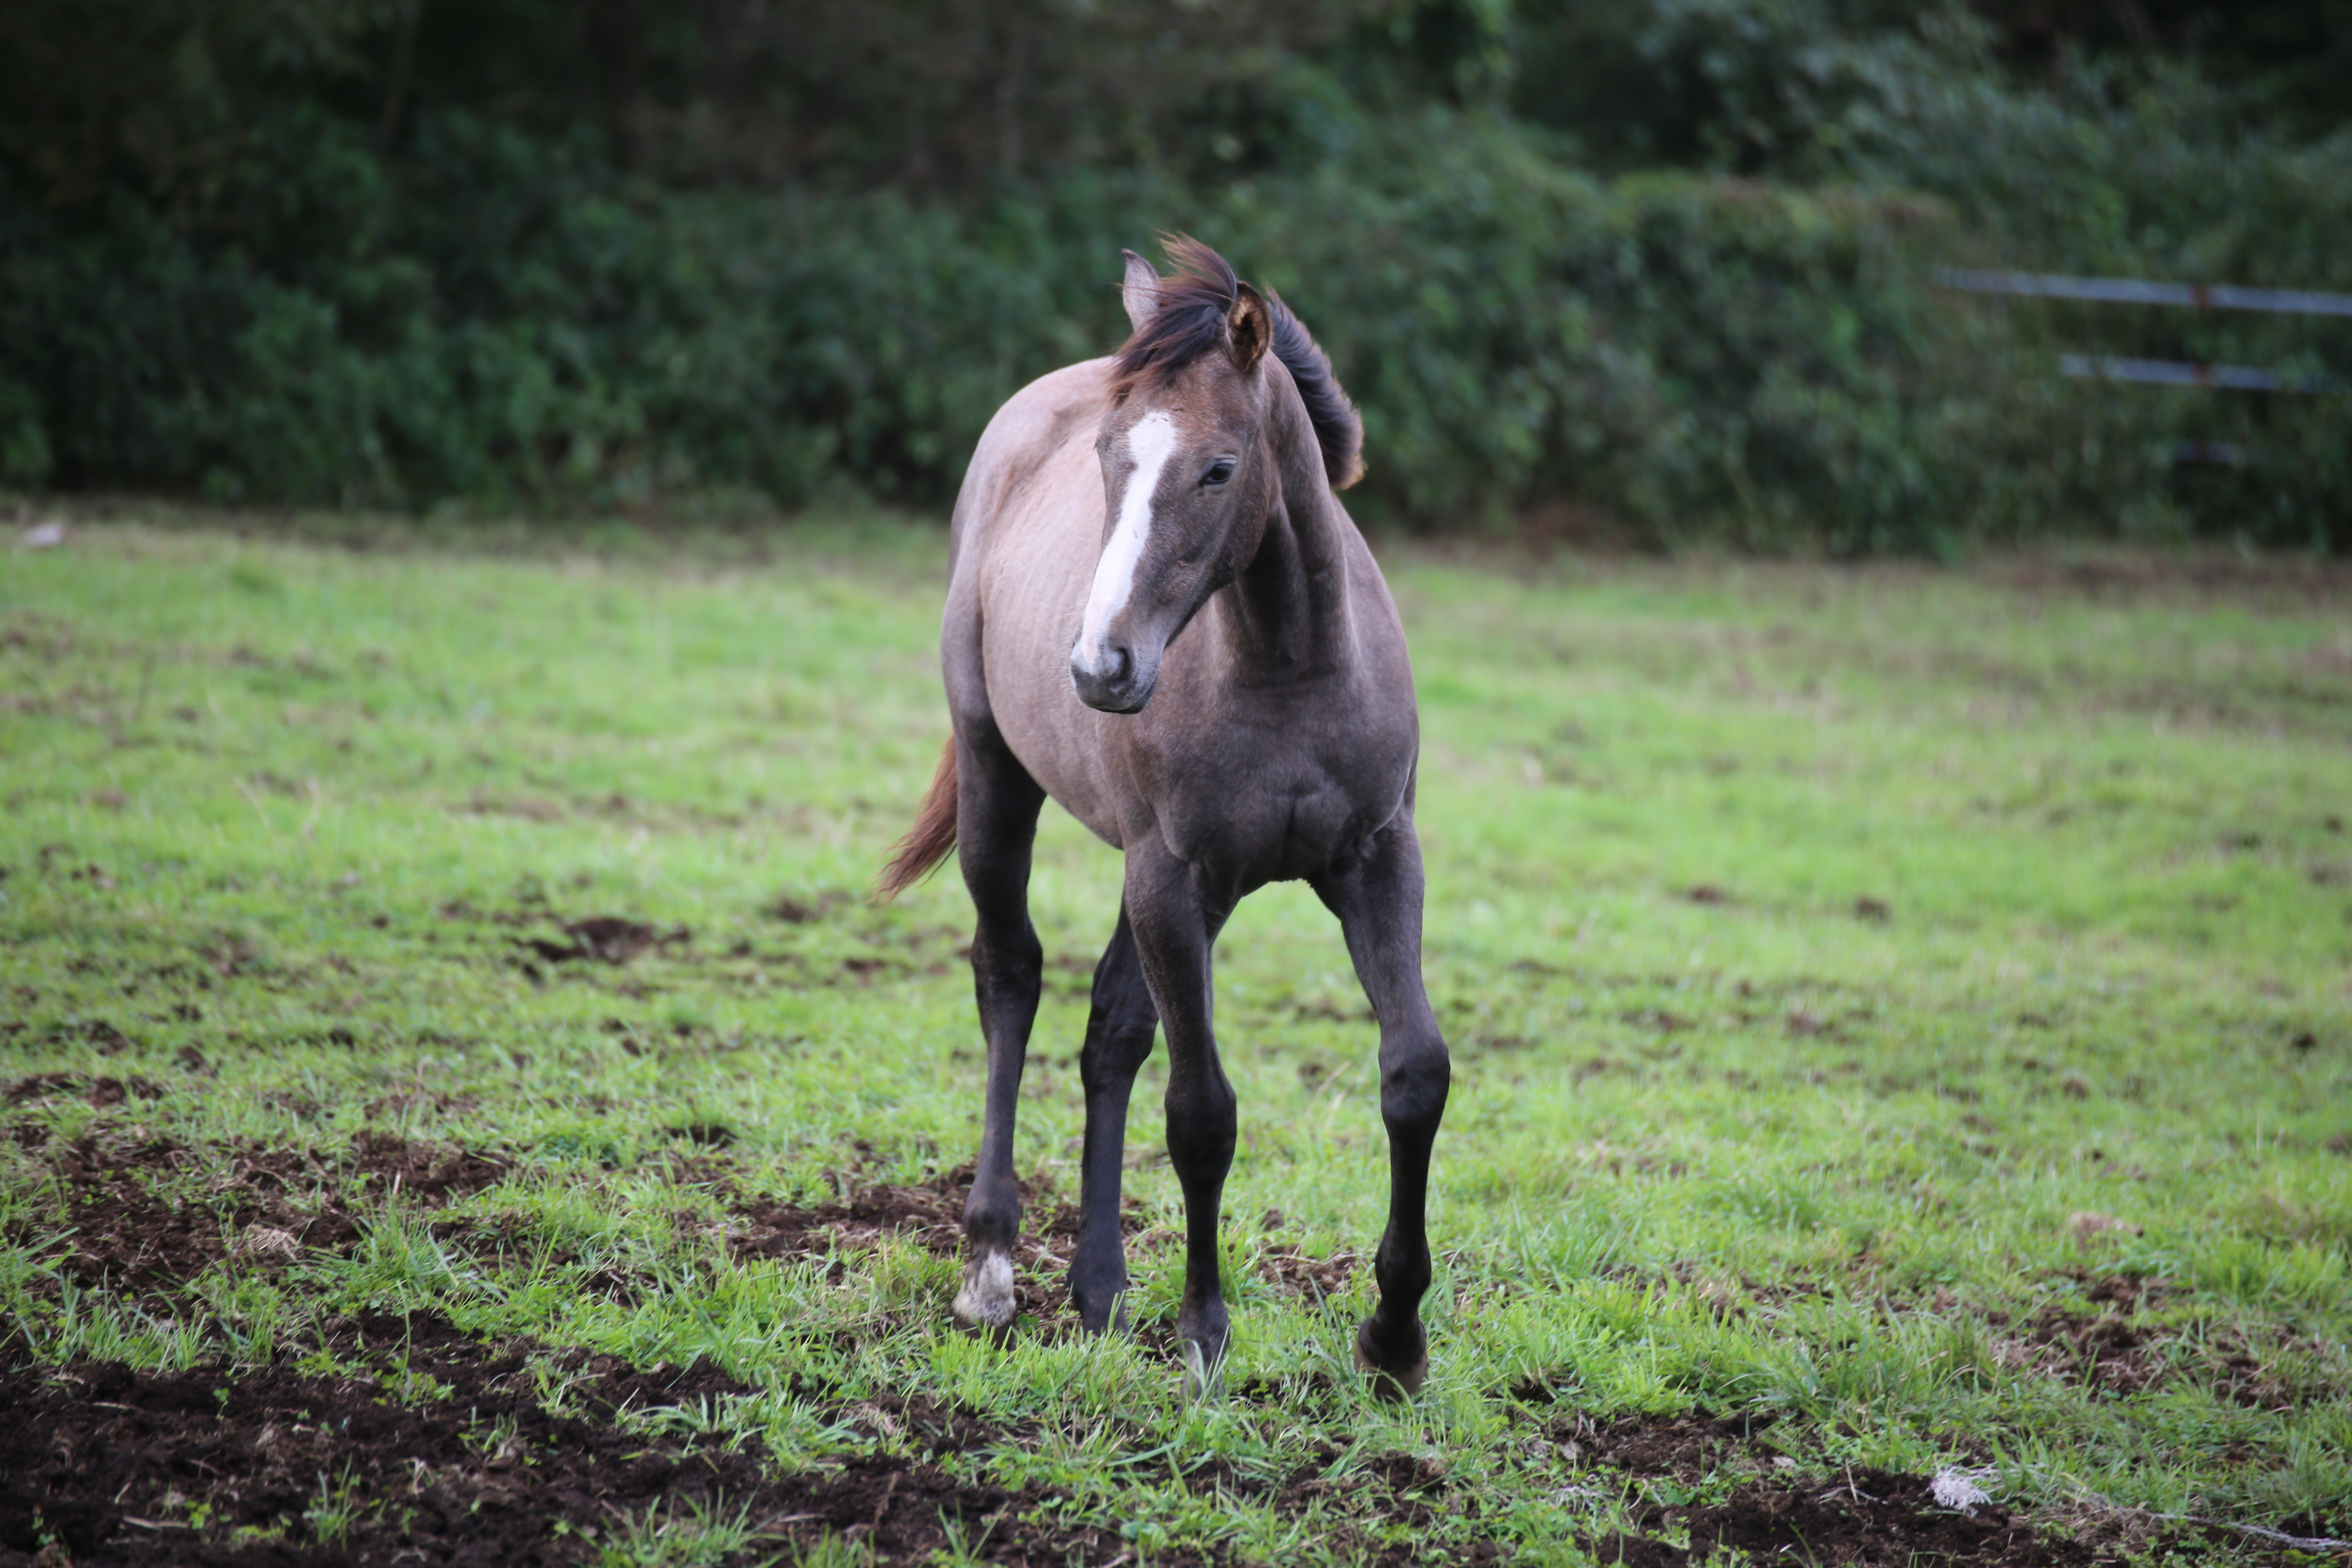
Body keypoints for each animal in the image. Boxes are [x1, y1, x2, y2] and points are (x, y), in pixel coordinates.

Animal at [884, 236, 1449, 1401]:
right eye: (1108, 456)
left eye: (1218, 469)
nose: (1102, 666)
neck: (1286, 667)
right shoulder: (1172, 877)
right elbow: (1200, 1111)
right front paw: (1204, 1335)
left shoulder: (1375, 862)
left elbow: (1413, 1073)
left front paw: (1394, 1340)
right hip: (1000, 784)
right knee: (1009, 976)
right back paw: (990, 1264)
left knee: (1110, 1028)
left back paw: (1098, 1289)